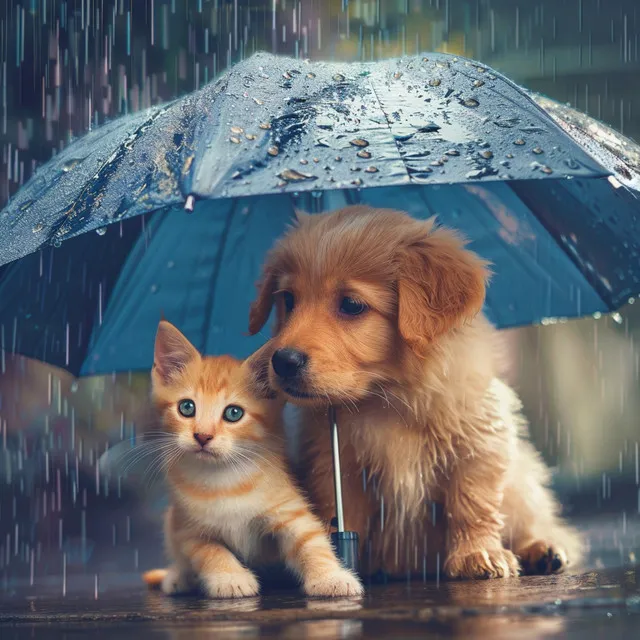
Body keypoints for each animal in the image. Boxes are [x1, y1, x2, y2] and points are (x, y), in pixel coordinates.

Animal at [141, 322, 360, 596]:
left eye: (234, 413)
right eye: (187, 408)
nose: (202, 436)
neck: (223, 479)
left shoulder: (289, 509)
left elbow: (311, 541)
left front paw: (330, 577)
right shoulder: (187, 527)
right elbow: (209, 550)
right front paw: (229, 577)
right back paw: (179, 576)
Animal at [248, 206, 584, 580]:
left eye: (351, 305)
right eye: (288, 300)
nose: (283, 361)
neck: (389, 396)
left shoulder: (480, 442)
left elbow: (473, 501)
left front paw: (477, 552)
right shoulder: (331, 462)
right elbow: (340, 513)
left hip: (523, 481)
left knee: (535, 519)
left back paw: (541, 547)